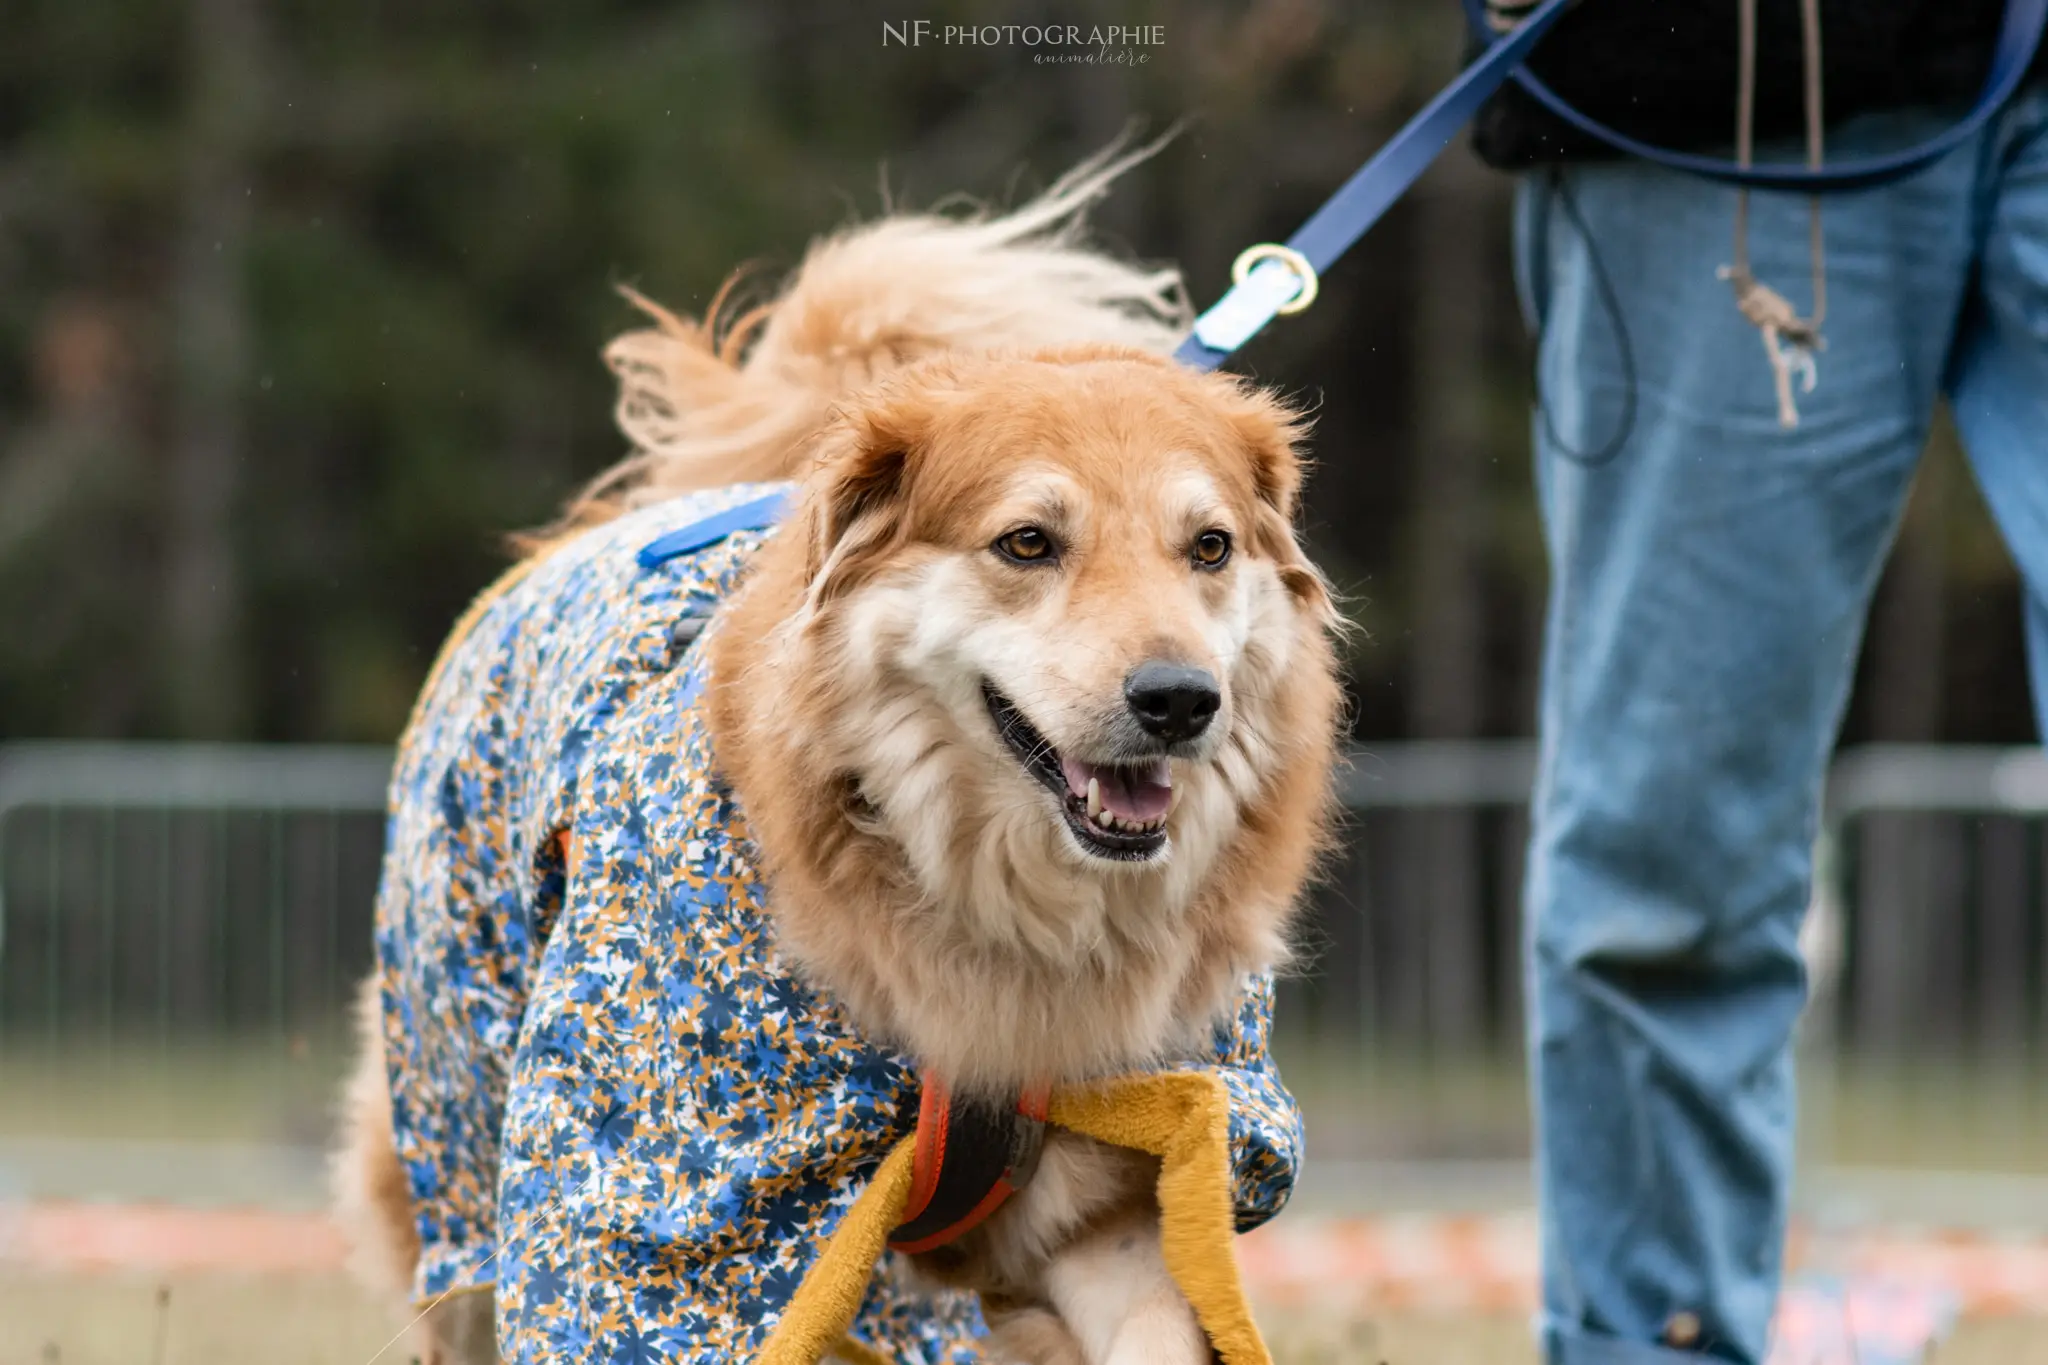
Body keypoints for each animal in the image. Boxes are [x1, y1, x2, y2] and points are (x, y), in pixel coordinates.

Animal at [335, 144, 1351, 1358]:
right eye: (1027, 542)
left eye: (1208, 547)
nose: (1180, 701)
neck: (996, 914)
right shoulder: (679, 1213)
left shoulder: (1120, 1191)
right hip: (456, 1145)